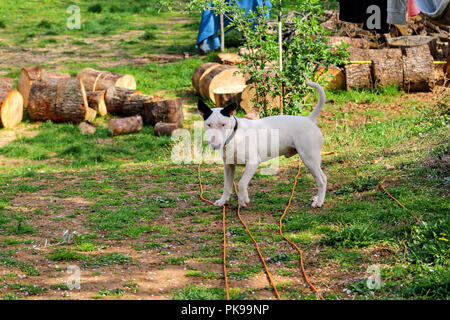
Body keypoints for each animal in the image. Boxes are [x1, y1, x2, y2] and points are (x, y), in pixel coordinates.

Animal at [199, 81, 326, 209]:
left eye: (223, 124)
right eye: (208, 124)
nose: (215, 145)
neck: (235, 135)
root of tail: (309, 119)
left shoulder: (253, 162)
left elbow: (241, 183)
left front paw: (243, 200)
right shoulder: (229, 166)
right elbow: (227, 185)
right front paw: (223, 200)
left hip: (309, 158)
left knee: (322, 180)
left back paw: (319, 201)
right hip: (311, 160)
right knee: (322, 177)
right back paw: (317, 197)